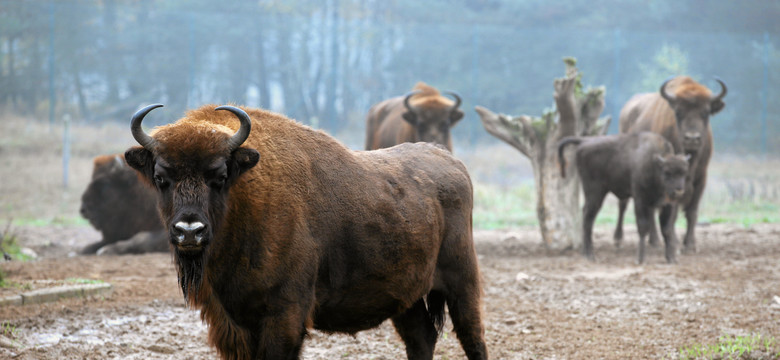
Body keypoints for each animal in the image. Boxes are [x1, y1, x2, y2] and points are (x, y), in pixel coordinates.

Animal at [122, 102, 488, 358]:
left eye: (220, 176)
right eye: (161, 178)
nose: (189, 231)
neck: (245, 196)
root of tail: (451, 162)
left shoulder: (284, 316)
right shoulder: (232, 322)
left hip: (462, 283)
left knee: (472, 337)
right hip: (406, 298)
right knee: (421, 339)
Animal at [556, 134, 688, 262]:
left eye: (684, 173)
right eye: (667, 172)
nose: (679, 190)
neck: (653, 164)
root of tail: (585, 141)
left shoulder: (667, 205)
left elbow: (666, 229)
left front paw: (671, 258)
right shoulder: (640, 200)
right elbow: (643, 227)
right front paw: (640, 259)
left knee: (587, 216)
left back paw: (585, 253)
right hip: (595, 193)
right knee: (588, 217)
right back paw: (590, 255)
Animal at [616, 76, 724, 253]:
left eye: (706, 112)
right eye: (678, 112)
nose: (692, 138)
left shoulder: (701, 178)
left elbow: (692, 212)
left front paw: (690, 244)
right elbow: (671, 213)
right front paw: (674, 242)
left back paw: (654, 240)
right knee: (625, 204)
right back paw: (624, 239)